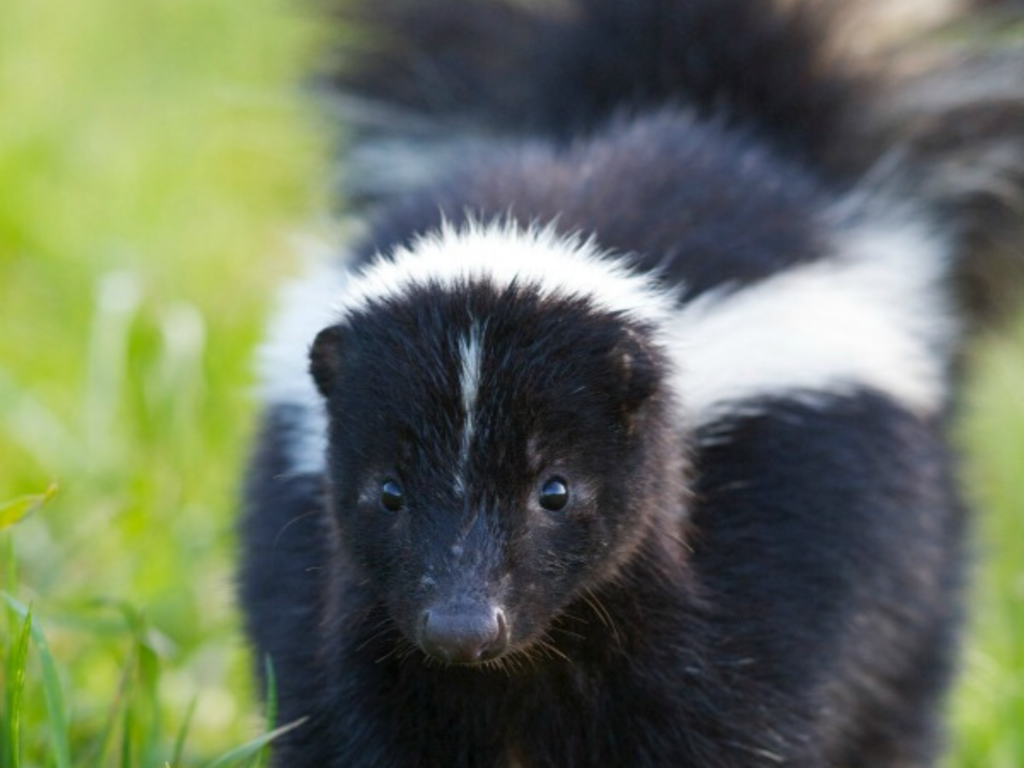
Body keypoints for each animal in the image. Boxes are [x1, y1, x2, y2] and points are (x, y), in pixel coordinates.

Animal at [239, 0, 1024, 765]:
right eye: (389, 493)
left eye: (556, 491)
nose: (462, 628)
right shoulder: (363, 622)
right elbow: (361, 725)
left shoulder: (758, 579)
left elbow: (731, 726)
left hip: (902, 550)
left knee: (897, 704)